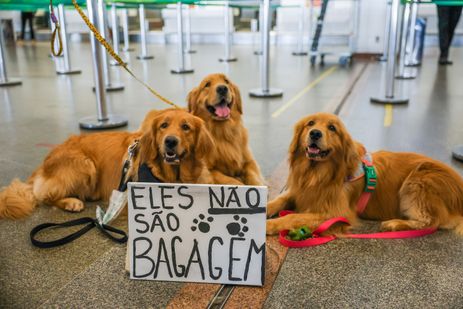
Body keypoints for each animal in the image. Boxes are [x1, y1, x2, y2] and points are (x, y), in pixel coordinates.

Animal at [0, 108, 214, 219]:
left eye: (185, 127)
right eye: (164, 125)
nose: (170, 141)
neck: (174, 176)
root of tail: (43, 164)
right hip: (84, 164)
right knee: (45, 196)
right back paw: (71, 202)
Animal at [266, 112, 463, 235]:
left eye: (332, 128)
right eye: (310, 123)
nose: (315, 133)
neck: (316, 174)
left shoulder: (337, 213)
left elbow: (293, 216)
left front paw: (269, 225)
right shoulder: (299, 191)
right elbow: (280, 200)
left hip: (418, 180)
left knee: (431, 221)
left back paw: (395, 223)